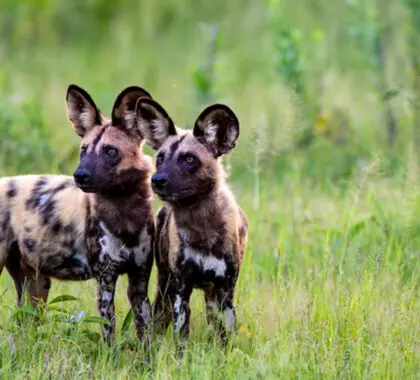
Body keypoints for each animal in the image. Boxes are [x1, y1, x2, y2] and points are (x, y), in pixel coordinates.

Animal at [0, 84, 155, 342]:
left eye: (110, 151)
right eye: (84, 150)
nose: (79, 175)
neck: (124, 215)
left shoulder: (139, 282)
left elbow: (146, 335)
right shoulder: (105, 281)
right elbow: (109, 333)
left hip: (36, 286)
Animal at [135, 97, 248, 350]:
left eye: (189, 159)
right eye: (160, 158)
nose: (157, 180)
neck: (201, 227)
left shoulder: (225, 293)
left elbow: (226, 340)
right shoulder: (181, 291)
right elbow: (181, 342)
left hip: (211, 297)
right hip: (165, 289)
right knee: (158, 322)